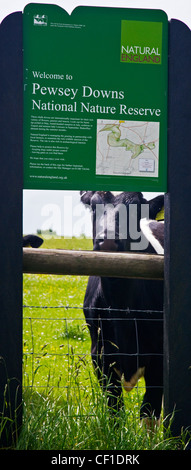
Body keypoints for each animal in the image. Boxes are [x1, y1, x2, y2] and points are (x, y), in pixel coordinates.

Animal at [80, 193, 164, 420]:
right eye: (94, 206)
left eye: (137, 210)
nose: (108, 241)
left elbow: (149, 411)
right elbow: (114, 410)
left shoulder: (159, 360)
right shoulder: (100, 358)